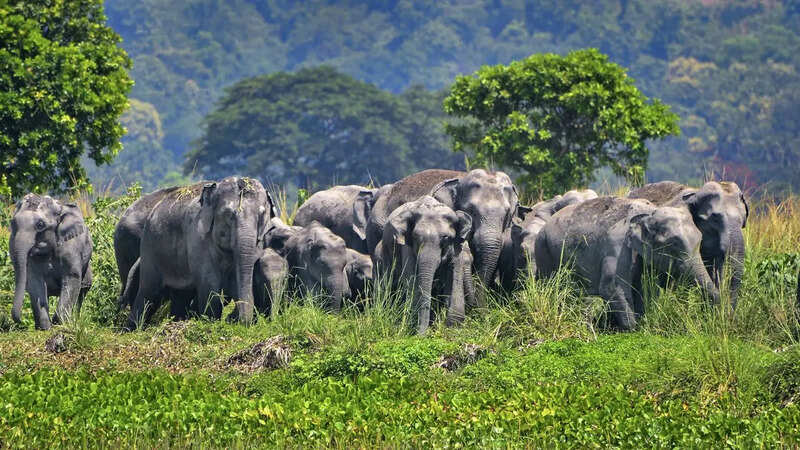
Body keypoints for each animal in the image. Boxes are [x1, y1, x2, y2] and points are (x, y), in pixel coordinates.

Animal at [9, 194, 93, 330]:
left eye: (40, 225)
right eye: (13, 223)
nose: (21, 322)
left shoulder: (71, 247)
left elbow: (72, 277)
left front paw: (60, 324)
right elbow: (35, 281)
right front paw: (45, 327)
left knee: (83, 290)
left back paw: (75, 320)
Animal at [126, 177, 272, 330]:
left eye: (262, 216)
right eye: (228, 215)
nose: (235, 320)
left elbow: (235, 280)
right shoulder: (197, 236)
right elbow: (210, 283)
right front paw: (211, 323)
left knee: (180, 295)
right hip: (150, 247)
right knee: (148, 292)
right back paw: (132, 330)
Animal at [376, 195, 472, 334]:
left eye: (446, 238)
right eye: (416, 237)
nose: (421, 335)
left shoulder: (457, 246)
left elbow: (454, 275)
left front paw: (453, 328)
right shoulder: (406, 245)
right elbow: (411, 278)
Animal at [535, 197, 720, 330]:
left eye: (700, 240)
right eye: (672, 245)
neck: (649, 213)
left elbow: (645, 290)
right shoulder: (618, 248)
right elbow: (611, 288)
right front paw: (632, 329)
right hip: (543, 249)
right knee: (552, 287)